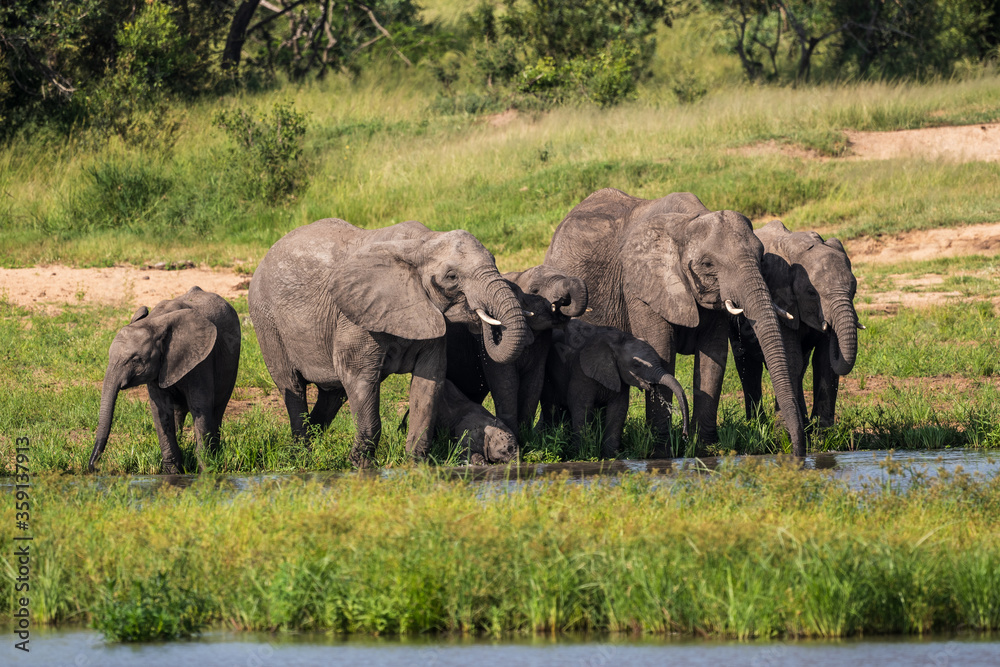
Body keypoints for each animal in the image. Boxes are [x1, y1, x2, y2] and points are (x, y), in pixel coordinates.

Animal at [89, 286, 241, 474]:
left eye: (136, 360)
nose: (95, 467)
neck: (154, 323)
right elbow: (161, 411)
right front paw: (173, 473)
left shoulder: (201, 361)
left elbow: (200, 407)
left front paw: (205, 470)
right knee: (178, 411)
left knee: (218, 408)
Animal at [248, 218, 529, 468]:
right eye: (451, 277)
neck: (422, 243)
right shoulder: (357, 316)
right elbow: (359, 376)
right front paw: (361, 466)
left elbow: (429, 381)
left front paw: (416, 465)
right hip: (266, 321)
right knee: (292, 385)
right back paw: (303, 455)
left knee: (333, 394)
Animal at [446, 264, 588, 433]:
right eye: (535, 290)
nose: (562, 301)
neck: (518, 276)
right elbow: (506, 382)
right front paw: (515, 433)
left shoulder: (542, 339)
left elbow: (534, 383)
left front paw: (526, 435)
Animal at [539, 320, 690, 458]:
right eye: (636, 365)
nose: (684, 434)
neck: (616, 342)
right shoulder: (581, 371)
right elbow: (581, 406)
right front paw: (582, 455)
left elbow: (618, 408)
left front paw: (611, 457)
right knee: (552, 406)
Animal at [730, 220, 861, 429]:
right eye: (811, 293)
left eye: (854, 290)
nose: (830, 326)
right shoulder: (780, 298)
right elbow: (791, 359)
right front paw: (784, 431)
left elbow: (824, 360)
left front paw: (824, 430)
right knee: (747, 365)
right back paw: (758, 425)